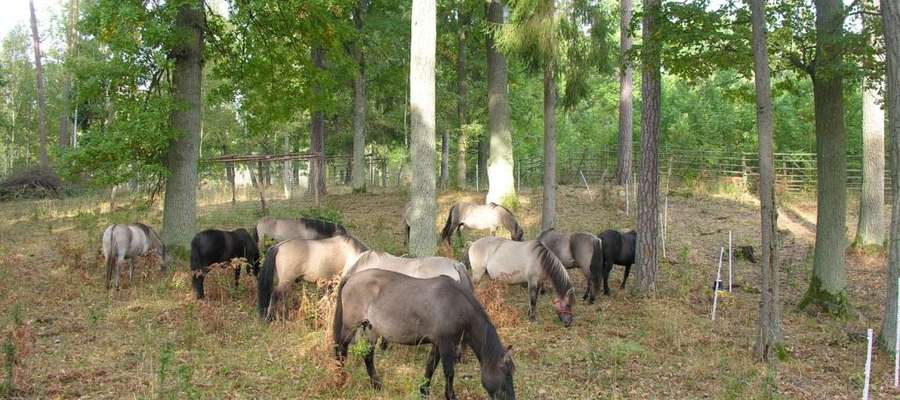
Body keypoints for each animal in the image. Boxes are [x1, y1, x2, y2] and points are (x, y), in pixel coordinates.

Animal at [332, 268, 516, 400]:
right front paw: (450, 396)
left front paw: (424, 391)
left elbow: (430, 367)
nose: (511, 398)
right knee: (341, 350)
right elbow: (449, 372)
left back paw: (376, 385)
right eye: (506, 373)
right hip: (350, 327)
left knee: (368, 356)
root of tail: (352, 277)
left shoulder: (438, 344)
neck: (456, 304)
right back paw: (340, 380)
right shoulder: (446, 344)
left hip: (372, 329)